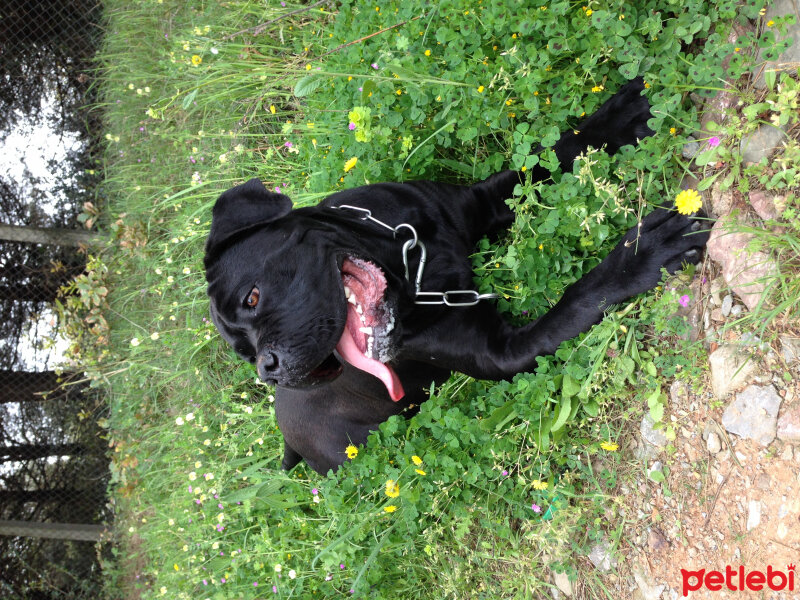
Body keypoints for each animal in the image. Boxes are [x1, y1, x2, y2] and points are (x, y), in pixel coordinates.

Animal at [205, 78, 708, 474]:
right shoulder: (505, 353)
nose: (267, 369)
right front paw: (641, 254)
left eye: (252, 297)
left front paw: (617, 119)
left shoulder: (478, 201)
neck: (409, 263)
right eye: (243, 353)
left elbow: (546, 158)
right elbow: (579, 296)